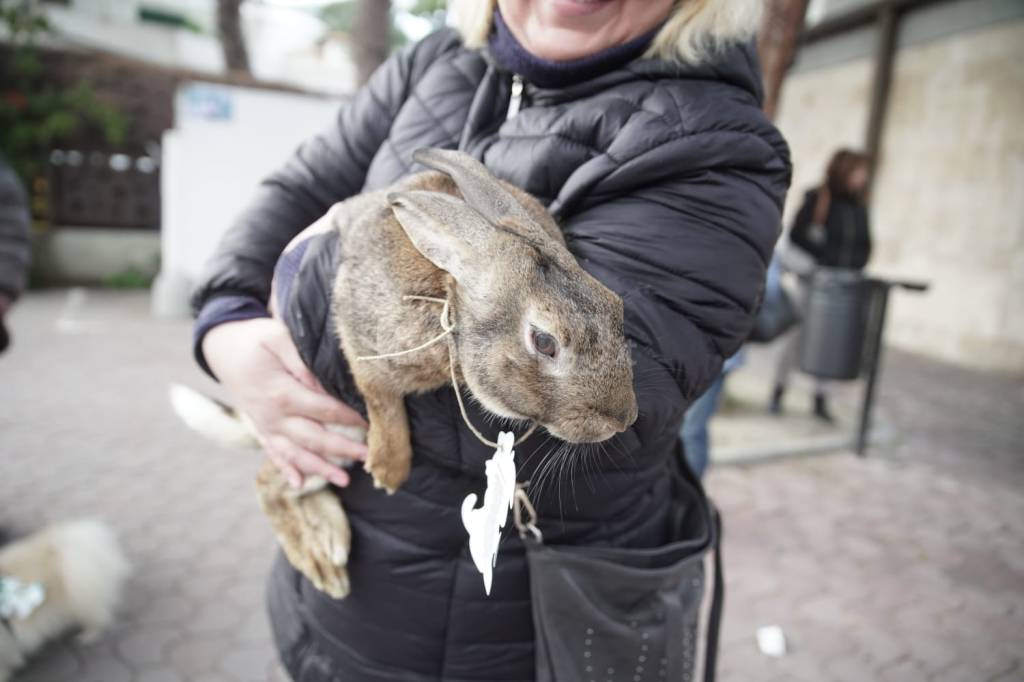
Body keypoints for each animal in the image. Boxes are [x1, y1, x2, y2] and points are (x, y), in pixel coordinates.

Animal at [176, 147, 638, 593]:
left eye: (616, 304)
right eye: (544, 341)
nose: (624, 418)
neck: (450, 299)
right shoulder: (358, 339)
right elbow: (381, 400)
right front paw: (388, 469)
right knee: (268, 480)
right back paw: (323, 558)